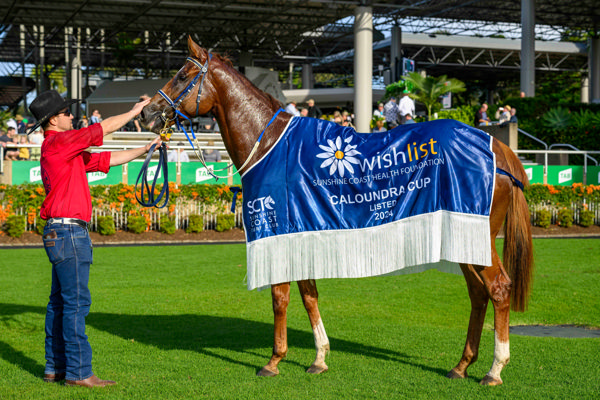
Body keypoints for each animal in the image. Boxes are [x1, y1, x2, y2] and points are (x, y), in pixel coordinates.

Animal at [141, 36, 536, 384]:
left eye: (182, 75)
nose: (147, 112)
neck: (270, 144)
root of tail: (498, 148)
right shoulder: (301, 230)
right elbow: (308, 294)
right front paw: (319, 358)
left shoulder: (277, 230)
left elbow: (280, 297)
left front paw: (273, 361)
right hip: (462, 238)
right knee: (478, 294)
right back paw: (461, 365)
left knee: (499, 289)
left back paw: (494, 370)